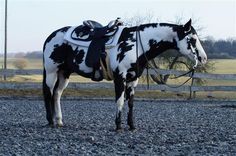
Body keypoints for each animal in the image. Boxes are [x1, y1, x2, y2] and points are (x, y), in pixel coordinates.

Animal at [42, 18, 206, 130]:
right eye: (192, 39)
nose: (203, 58)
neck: (137, 43)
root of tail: (50, 37)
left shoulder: (133, 79)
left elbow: (131, 103)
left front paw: (131, 125)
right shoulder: (120, 77)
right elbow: (120, 101)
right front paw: (118, 126)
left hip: (64, 73)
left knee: (57, 94)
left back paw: (59, 121)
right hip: (51, 72)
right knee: (49, 93)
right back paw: (50, 121)